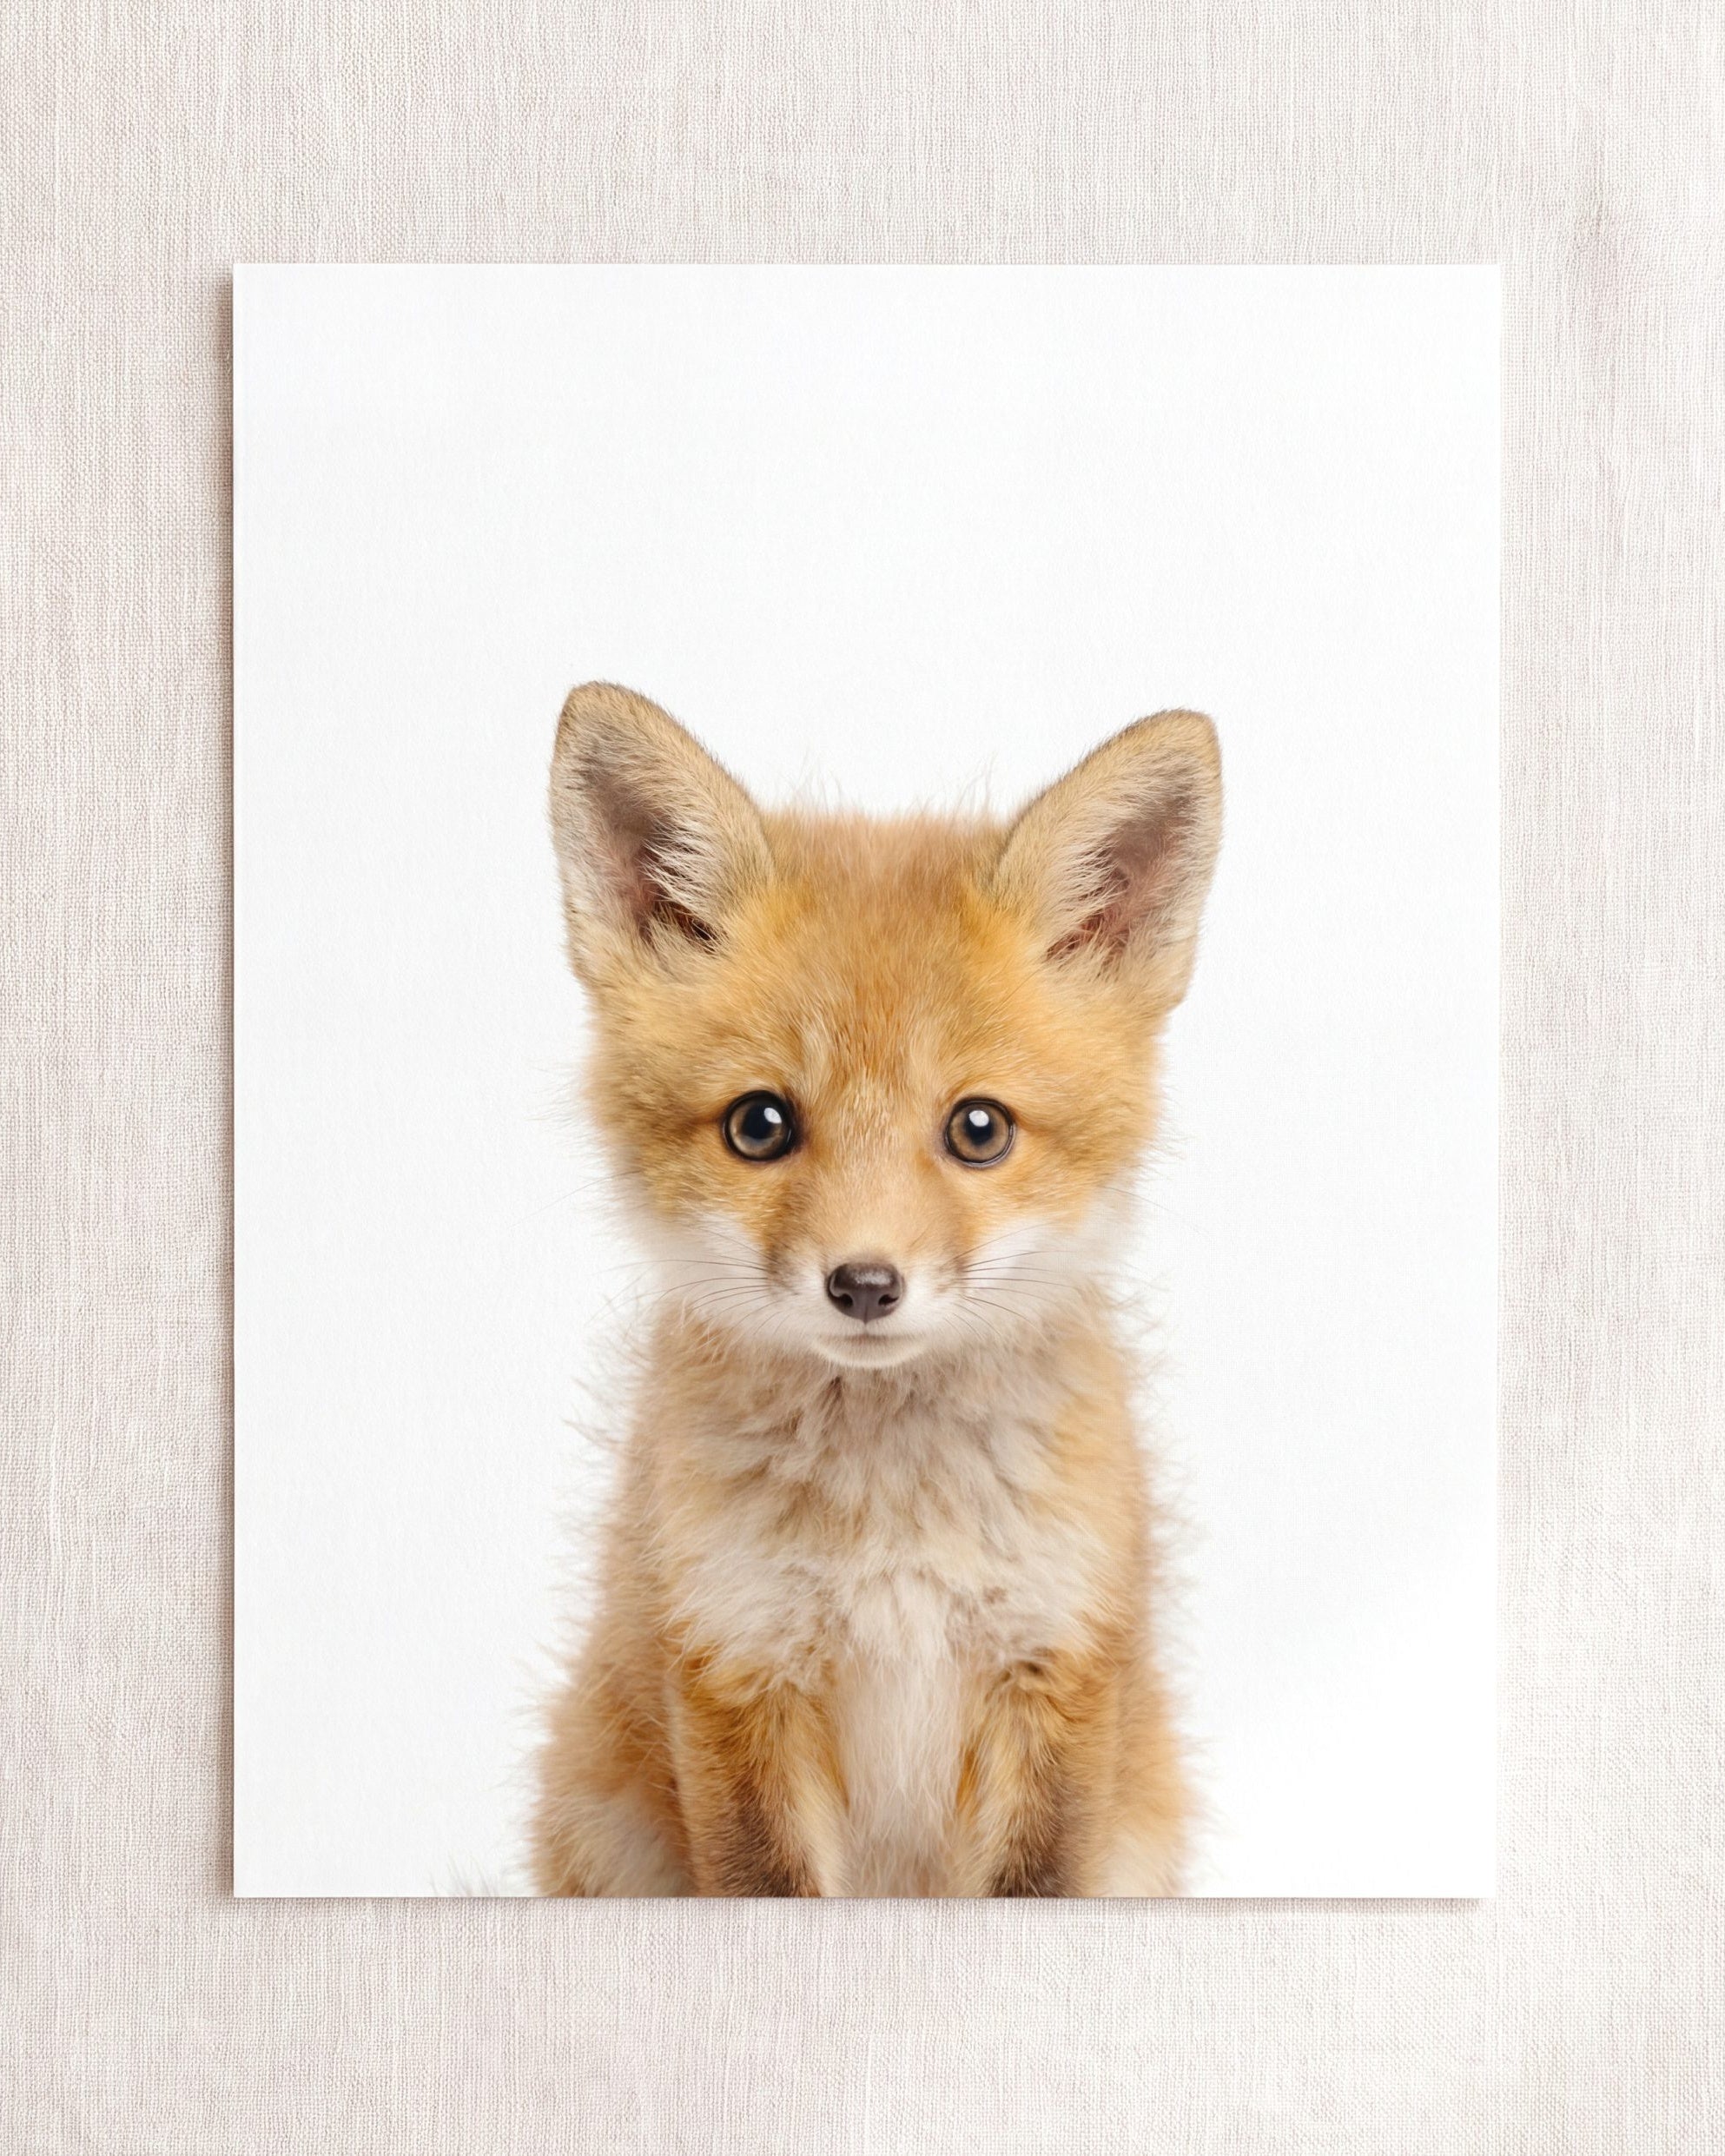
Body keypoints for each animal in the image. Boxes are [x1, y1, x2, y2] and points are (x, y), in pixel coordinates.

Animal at [528, 681, 1222, 1897]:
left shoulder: (1055, 1668)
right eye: (760, 1124)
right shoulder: (737, 1664)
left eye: (979, 1129)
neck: (893, 1528)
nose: (863, 1284)